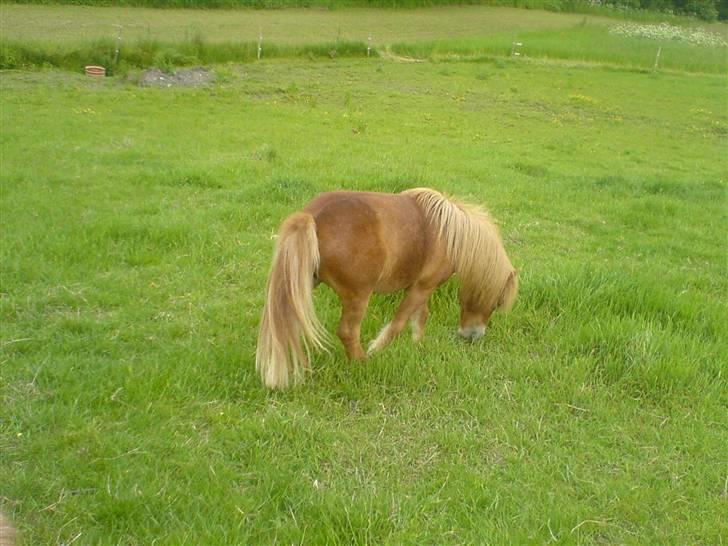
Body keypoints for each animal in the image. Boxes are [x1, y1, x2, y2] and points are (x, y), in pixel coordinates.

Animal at [256, 187, 516, 386]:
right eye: (495, 303)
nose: (471, 337)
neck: (449, 233)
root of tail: (313, 217)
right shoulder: (422, 287)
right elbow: (399, 323)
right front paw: (377, 349)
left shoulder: (421, 288)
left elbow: (420, 316)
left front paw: (417, 344)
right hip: (358, 296)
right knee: (348, 332)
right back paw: (361, 362)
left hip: (299, 282)